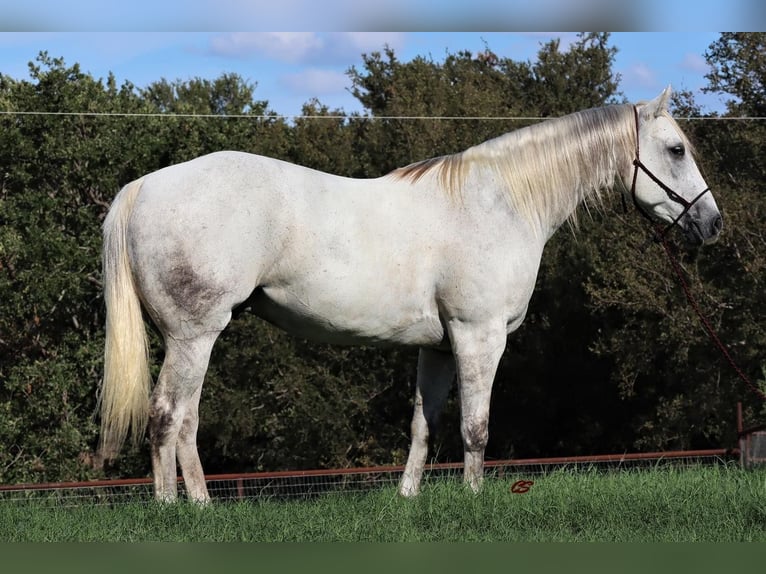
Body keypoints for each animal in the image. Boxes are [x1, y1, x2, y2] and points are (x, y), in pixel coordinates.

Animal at [99, 86, 724, 504]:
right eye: (675, 149)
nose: (712, 223)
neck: (500, 203)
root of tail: (145, 186)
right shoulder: (479, 337)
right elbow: (476, 426)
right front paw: (475, 502)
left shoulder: (440, 346)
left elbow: (425, 425)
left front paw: (409, 499)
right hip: (194, 336)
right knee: (168, 415)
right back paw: (177, 510)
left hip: (194, 340)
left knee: (184, 419)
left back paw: (197, 505)